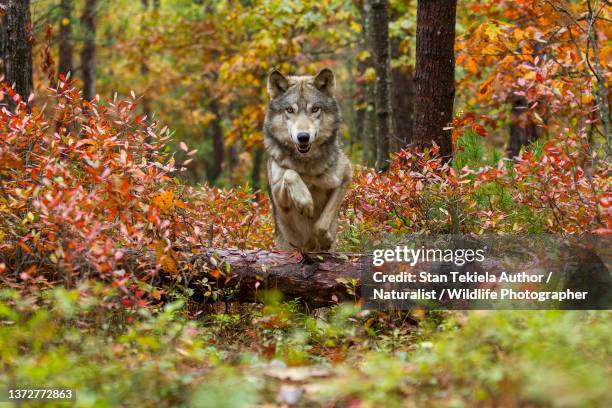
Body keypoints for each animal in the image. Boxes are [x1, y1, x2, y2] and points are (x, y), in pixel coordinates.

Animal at [264, 68, 354, 250]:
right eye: (290, 110)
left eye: (315, 109)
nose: (303, 137)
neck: (307, 164)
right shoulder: (280, 201)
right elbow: (290, 173)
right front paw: (305, 203)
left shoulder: (345, 178)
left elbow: (321, 225)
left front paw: (325, 240)